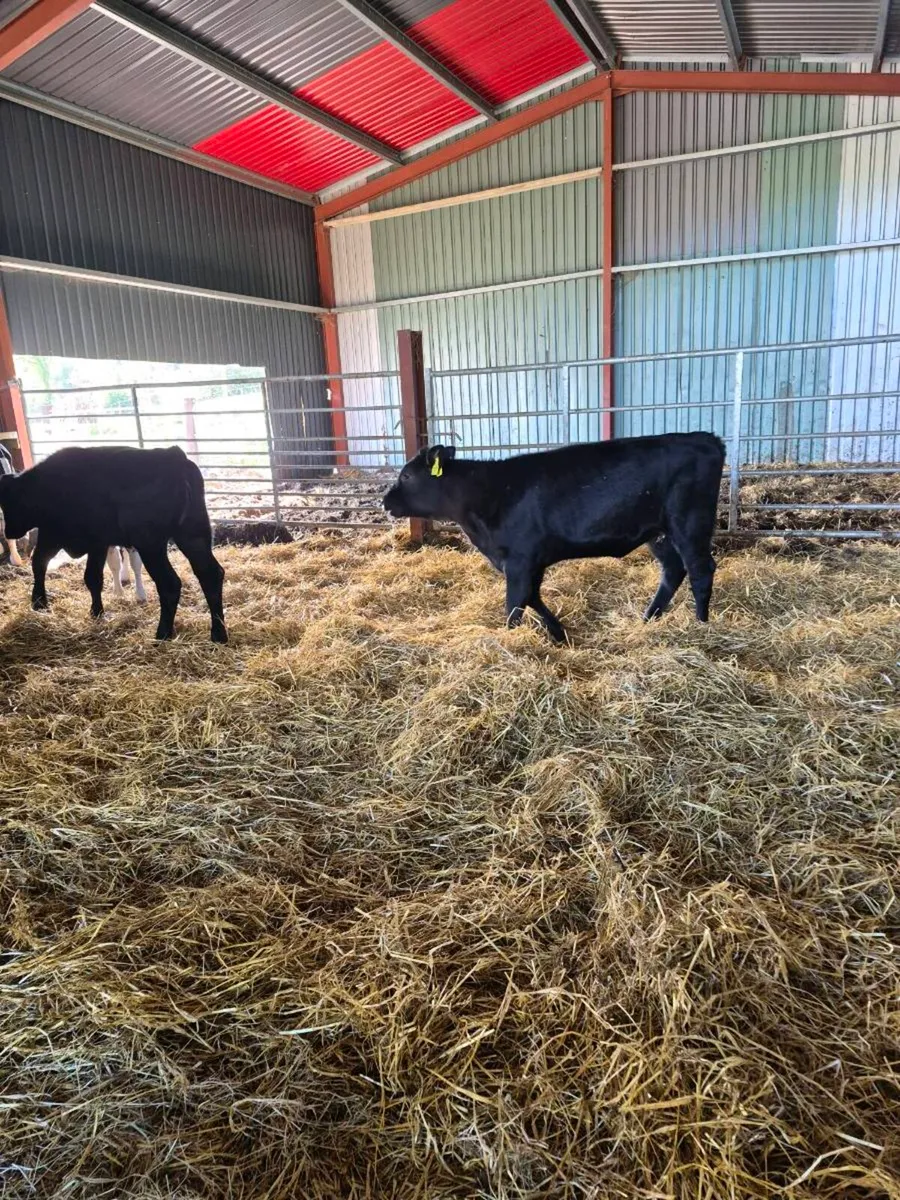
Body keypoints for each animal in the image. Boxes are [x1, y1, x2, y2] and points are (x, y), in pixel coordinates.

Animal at [0, 445, 227, 643]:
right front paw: (94, 611)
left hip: (151, 544)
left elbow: (53, 567)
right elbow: (82, 575)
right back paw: (218, 633)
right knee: (211, 574)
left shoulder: (65, 536)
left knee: (170, 584)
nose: (9, 531)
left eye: (9, 502)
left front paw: (41, 602)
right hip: (193, 535)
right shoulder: (85, 542)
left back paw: (162, 633)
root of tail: (173, 456)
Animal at [383, 433, 726, 643]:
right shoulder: (529, 562)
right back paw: (648, 619)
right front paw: (559, 634)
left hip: (689, 523)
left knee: (700, 570)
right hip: (659, 533)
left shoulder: (519, 560)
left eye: (407, 475)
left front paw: (511, 641)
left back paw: (701, 624)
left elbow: (515, 604)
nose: (385, 501)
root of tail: (706, 438)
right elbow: (532, 596)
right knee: (673, 570)